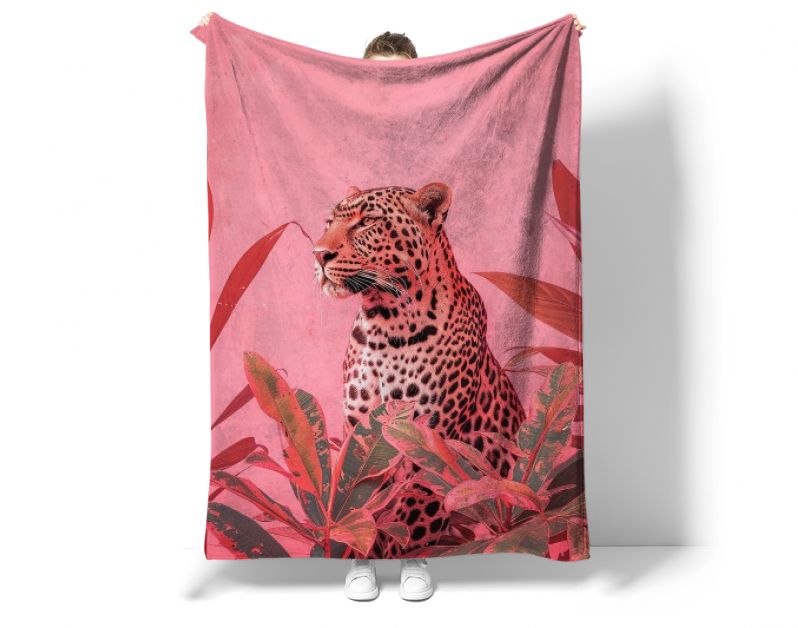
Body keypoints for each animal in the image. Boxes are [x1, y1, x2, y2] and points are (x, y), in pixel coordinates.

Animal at [312, 181, 527, 558]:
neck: (385, 325)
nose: (318, 254)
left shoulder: (430, 443)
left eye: (366, 222)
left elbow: (407, 524)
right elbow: (362, 510)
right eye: (329, 223)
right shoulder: (360, 435)